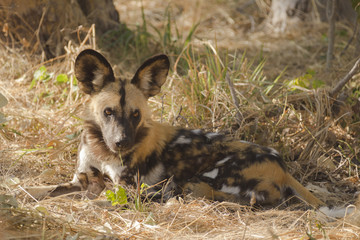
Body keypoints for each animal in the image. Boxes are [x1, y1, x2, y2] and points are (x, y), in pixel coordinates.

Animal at [27, 49, 334, 211]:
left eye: (136, 115)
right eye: (108, 112)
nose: (122, 142)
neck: (102, 150)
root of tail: (282, 166)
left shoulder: (124, 189)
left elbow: (99, 199)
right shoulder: (81, 179)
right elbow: (41, 190)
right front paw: (24, 195)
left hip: (206, 176)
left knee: (224, 196)